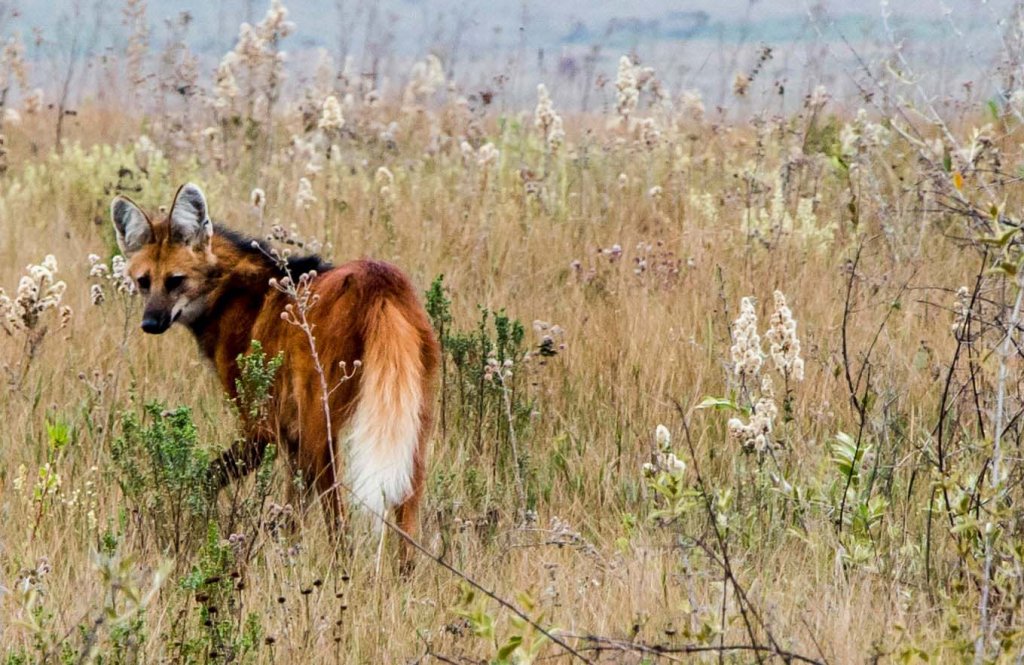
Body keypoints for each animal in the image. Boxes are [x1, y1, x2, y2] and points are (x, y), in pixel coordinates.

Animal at [108, 181, 440, 549]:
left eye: (175, 280)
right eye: (144, 282)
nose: (150, 323)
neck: (228, 292)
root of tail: (381, 281)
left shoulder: (262, 428)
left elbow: (205, 478)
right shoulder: (290, 435)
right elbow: (292, 510)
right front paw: (284, 548)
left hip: (321, 426)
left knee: (339, 524)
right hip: (410, 426)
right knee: (406, 519)